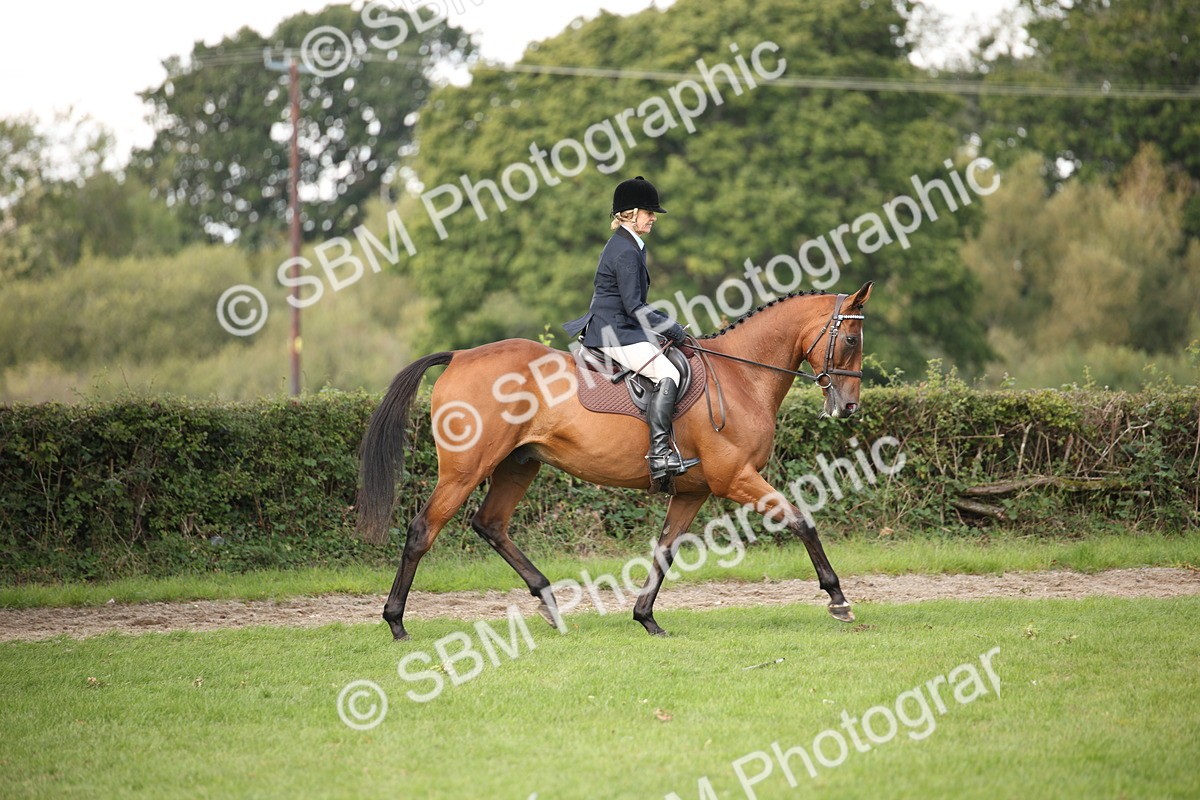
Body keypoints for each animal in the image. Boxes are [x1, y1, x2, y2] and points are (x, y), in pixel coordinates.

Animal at [356, 281, 874, 640]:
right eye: (851, 339)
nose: (849, 407)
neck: (741, 375)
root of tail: (461, 355)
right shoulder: (735, 478)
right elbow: (803, 521)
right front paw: (838, 600)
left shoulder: (694, 490)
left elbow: (665, 550)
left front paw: (646, 619)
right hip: (466, 470)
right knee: (423, 531)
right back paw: (396, 623)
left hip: (520, 464)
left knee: (490, 524)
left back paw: (549, 602)